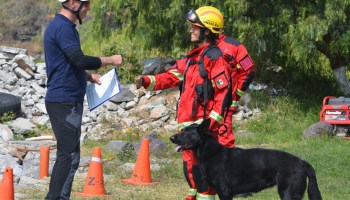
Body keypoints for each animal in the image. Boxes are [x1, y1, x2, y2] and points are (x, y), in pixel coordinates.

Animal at [170, 119, 322, 199]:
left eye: (187, 133)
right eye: (182, 130)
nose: (171, 138)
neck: (209, 151)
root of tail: (302, 162)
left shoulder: (224, 192)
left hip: (287, 193)